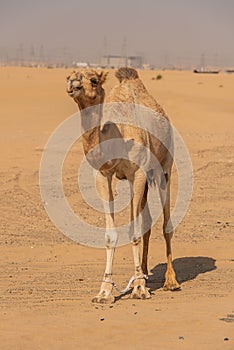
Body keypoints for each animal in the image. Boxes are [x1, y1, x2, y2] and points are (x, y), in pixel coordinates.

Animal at [66, 67, 181, 302]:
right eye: (68, 76)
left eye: (93, 80)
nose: (73, 84)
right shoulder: (104, 175)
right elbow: (112, 235)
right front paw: (104, 291)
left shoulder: (137, 173)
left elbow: (134, 232)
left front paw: (139, 289)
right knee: (146, 220)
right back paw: (144, 272)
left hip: (164, 168)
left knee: (166, 224)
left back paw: (170, 281)